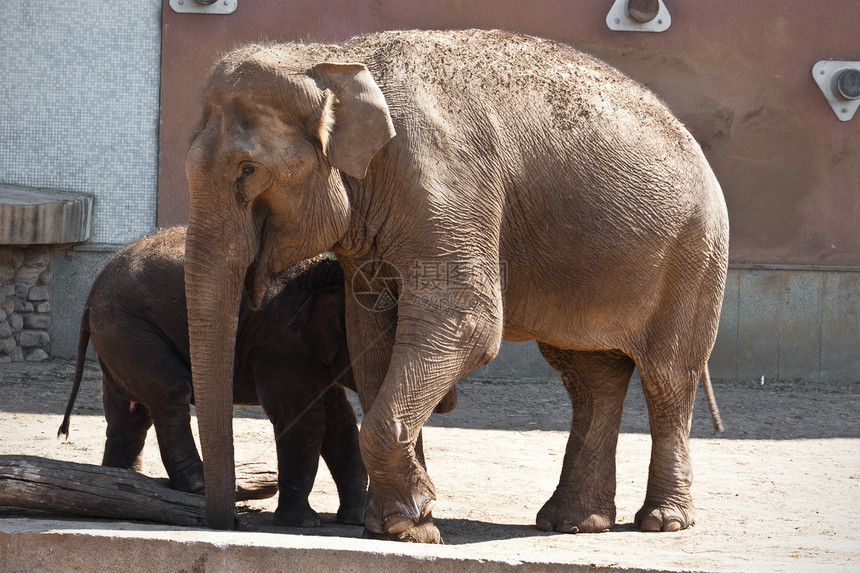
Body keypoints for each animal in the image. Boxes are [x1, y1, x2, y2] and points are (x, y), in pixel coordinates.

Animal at [58, 227, 362, 528]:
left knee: (129, 415)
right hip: (128, 328)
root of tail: (96, 284)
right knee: (171, 391)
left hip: (117, 337)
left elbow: (339, 419)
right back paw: (196, 485)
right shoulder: (280, 344)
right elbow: (301, 417)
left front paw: (354, 520)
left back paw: (122, 485)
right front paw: (303, 524)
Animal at [185, 31, 728, 540]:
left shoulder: (446, 184)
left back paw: (662, 521)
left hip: (694, 258)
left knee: (668, 377)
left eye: (248, 170)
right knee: (590, 376)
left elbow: (466, 324)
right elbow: (371, 333)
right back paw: (571, 522)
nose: (232, 523)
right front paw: (403, 521)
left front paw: (407, 525)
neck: (333, 59)